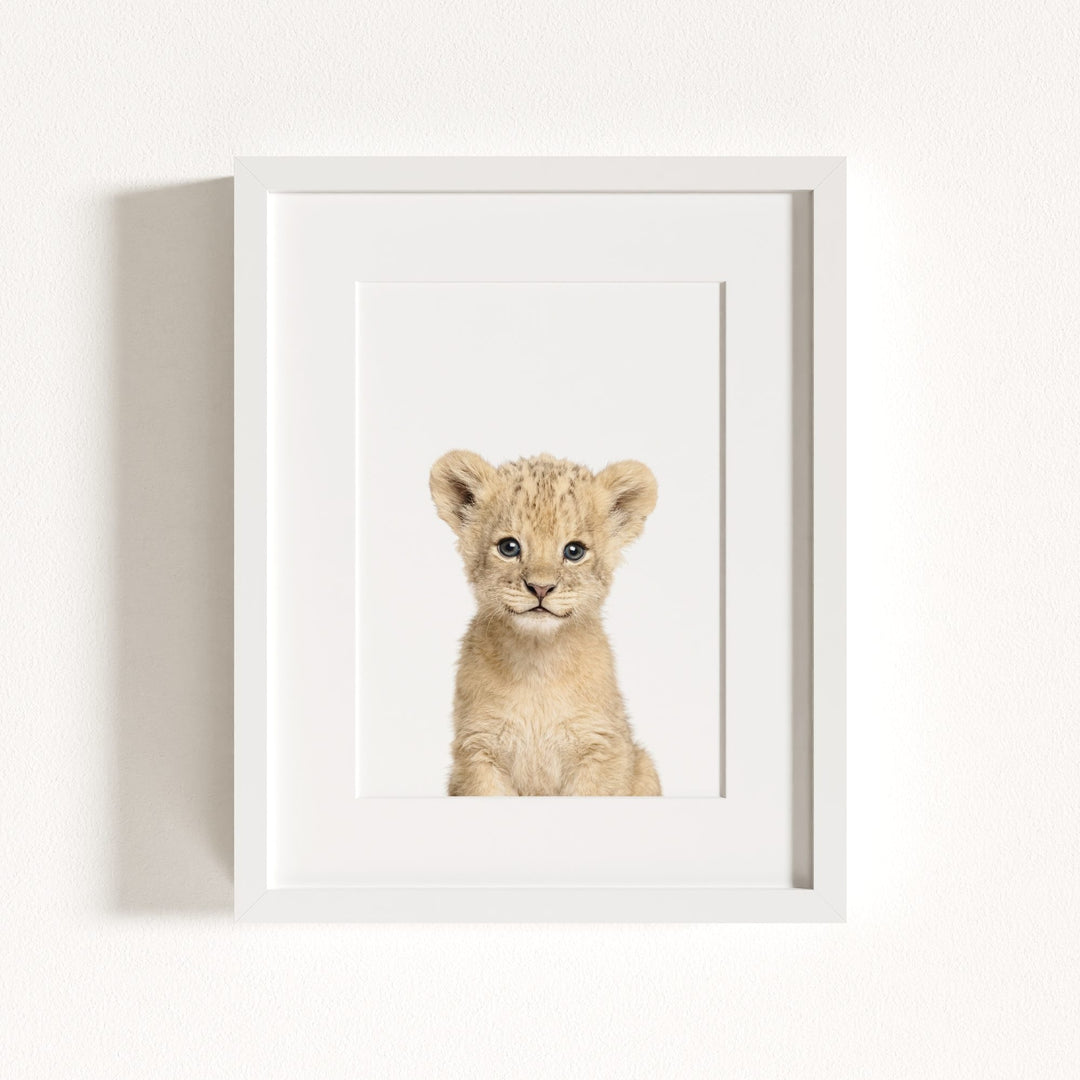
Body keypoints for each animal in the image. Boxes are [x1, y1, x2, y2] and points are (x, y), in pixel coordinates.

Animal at [429, 451, 661, 796]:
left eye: (574, 551)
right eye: (509, 547)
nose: (540, 588)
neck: (537, 663)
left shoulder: (602, 748)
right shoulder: (478, 751)